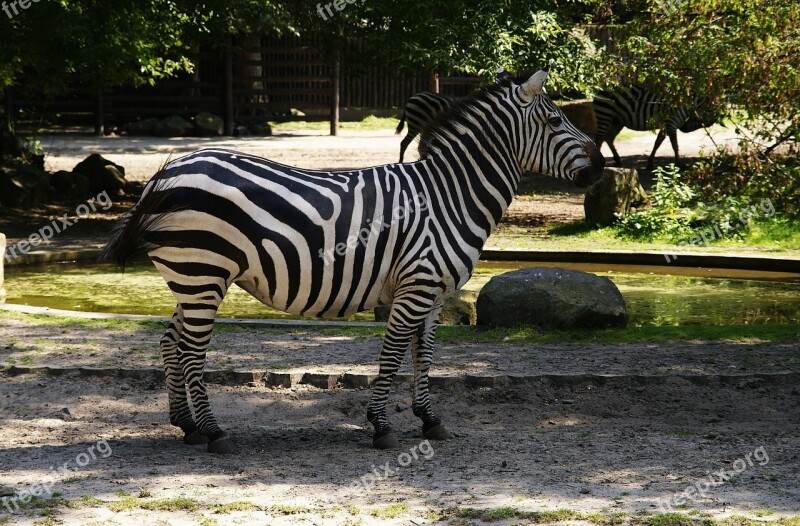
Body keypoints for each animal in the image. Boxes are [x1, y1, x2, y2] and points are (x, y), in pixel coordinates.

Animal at [100, 65, 604, 454]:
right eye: (556, 119)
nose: (601, 168)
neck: (450, 195)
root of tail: (167, 172)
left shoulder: (435, 292)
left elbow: (424, 355)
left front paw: (429, 420)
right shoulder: (416, 284)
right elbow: (393, 354)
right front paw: (381, 426)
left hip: (193, 277)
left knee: (171, 342)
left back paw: (186, 426)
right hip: (204, 273)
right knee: (190, 350)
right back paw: (214, 432)